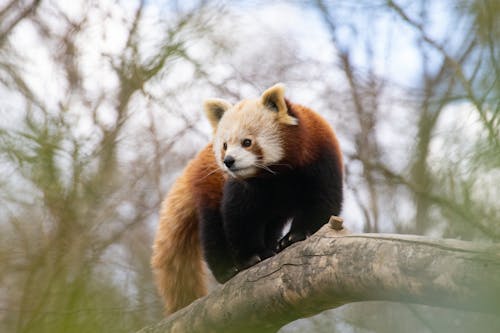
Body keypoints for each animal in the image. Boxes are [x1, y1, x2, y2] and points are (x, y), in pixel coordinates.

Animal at [150, 83, 342, 314]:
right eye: (225, 145)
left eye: (247, 142)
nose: (228, 161)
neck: (278, 175)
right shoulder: (241, 187)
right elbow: (240, 217)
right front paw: (253, 256)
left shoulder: (321, 159)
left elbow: (323, 202)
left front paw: (295, 236)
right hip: (210, 191)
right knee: (213, 230)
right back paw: (228, 268)